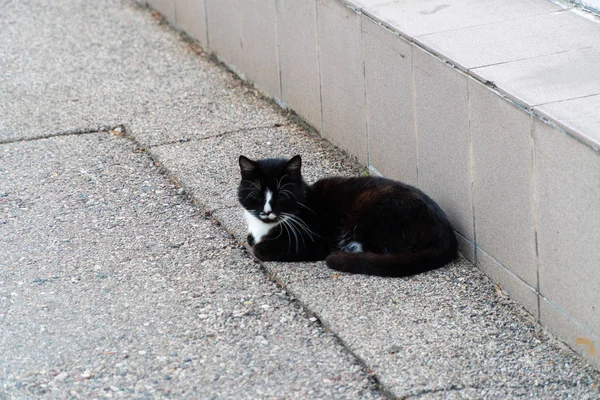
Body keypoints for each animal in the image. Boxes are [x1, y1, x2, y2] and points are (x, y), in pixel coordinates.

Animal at [237, 155, 458, 276]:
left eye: (282, 195)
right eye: (257, 195)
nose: (267, 211)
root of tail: (446, 233)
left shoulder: (311, 240)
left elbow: (259, 248)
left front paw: (260, 247)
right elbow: (250, 238)